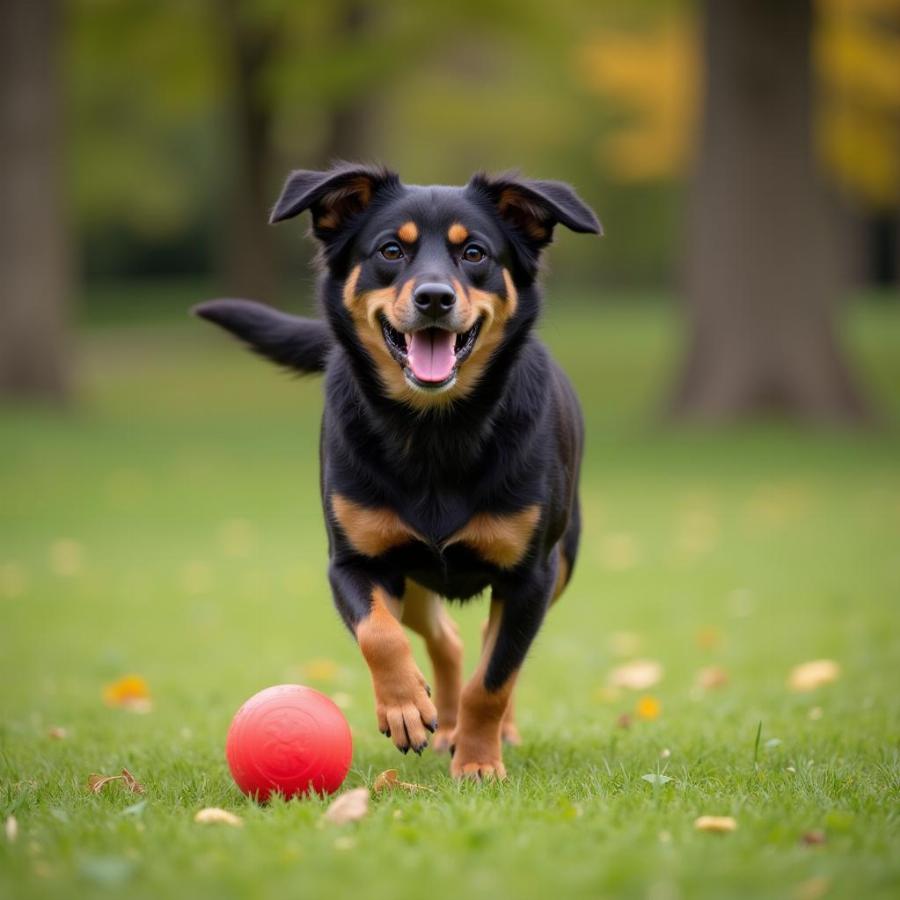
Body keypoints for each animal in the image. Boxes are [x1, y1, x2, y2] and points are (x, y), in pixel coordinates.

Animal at [198, 163, 604, 780]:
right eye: (391, 250)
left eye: (475, 253)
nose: (434, 297)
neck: (434, 431)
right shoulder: (355, 561)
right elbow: (378, 635)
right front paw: (406, 706)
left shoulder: (530, 576)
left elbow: (495, 677)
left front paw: (478, 762)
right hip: (413, 581)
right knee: (448, 638)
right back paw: (444, 724)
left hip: (561, 563)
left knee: (491, 647)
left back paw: (487, 733)